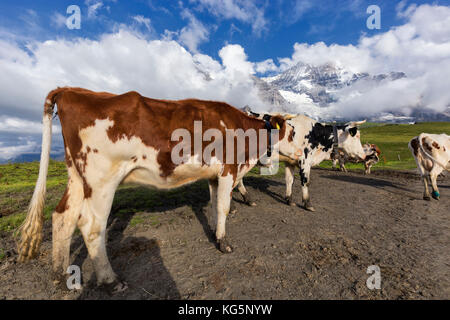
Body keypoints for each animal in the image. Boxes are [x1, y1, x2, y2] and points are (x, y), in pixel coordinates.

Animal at [20, 87, 302, 290]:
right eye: (291, 133)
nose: (302, 154)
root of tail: (71, 90)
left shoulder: (213, 175)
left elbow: (213, 205)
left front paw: (213, 232)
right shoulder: (227, 171)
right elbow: (223, 207)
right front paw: (223, 242)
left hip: (78, 178)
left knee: (62, 218)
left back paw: (60, 276)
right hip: (101, 179)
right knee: (90, 227)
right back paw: (111, 281)